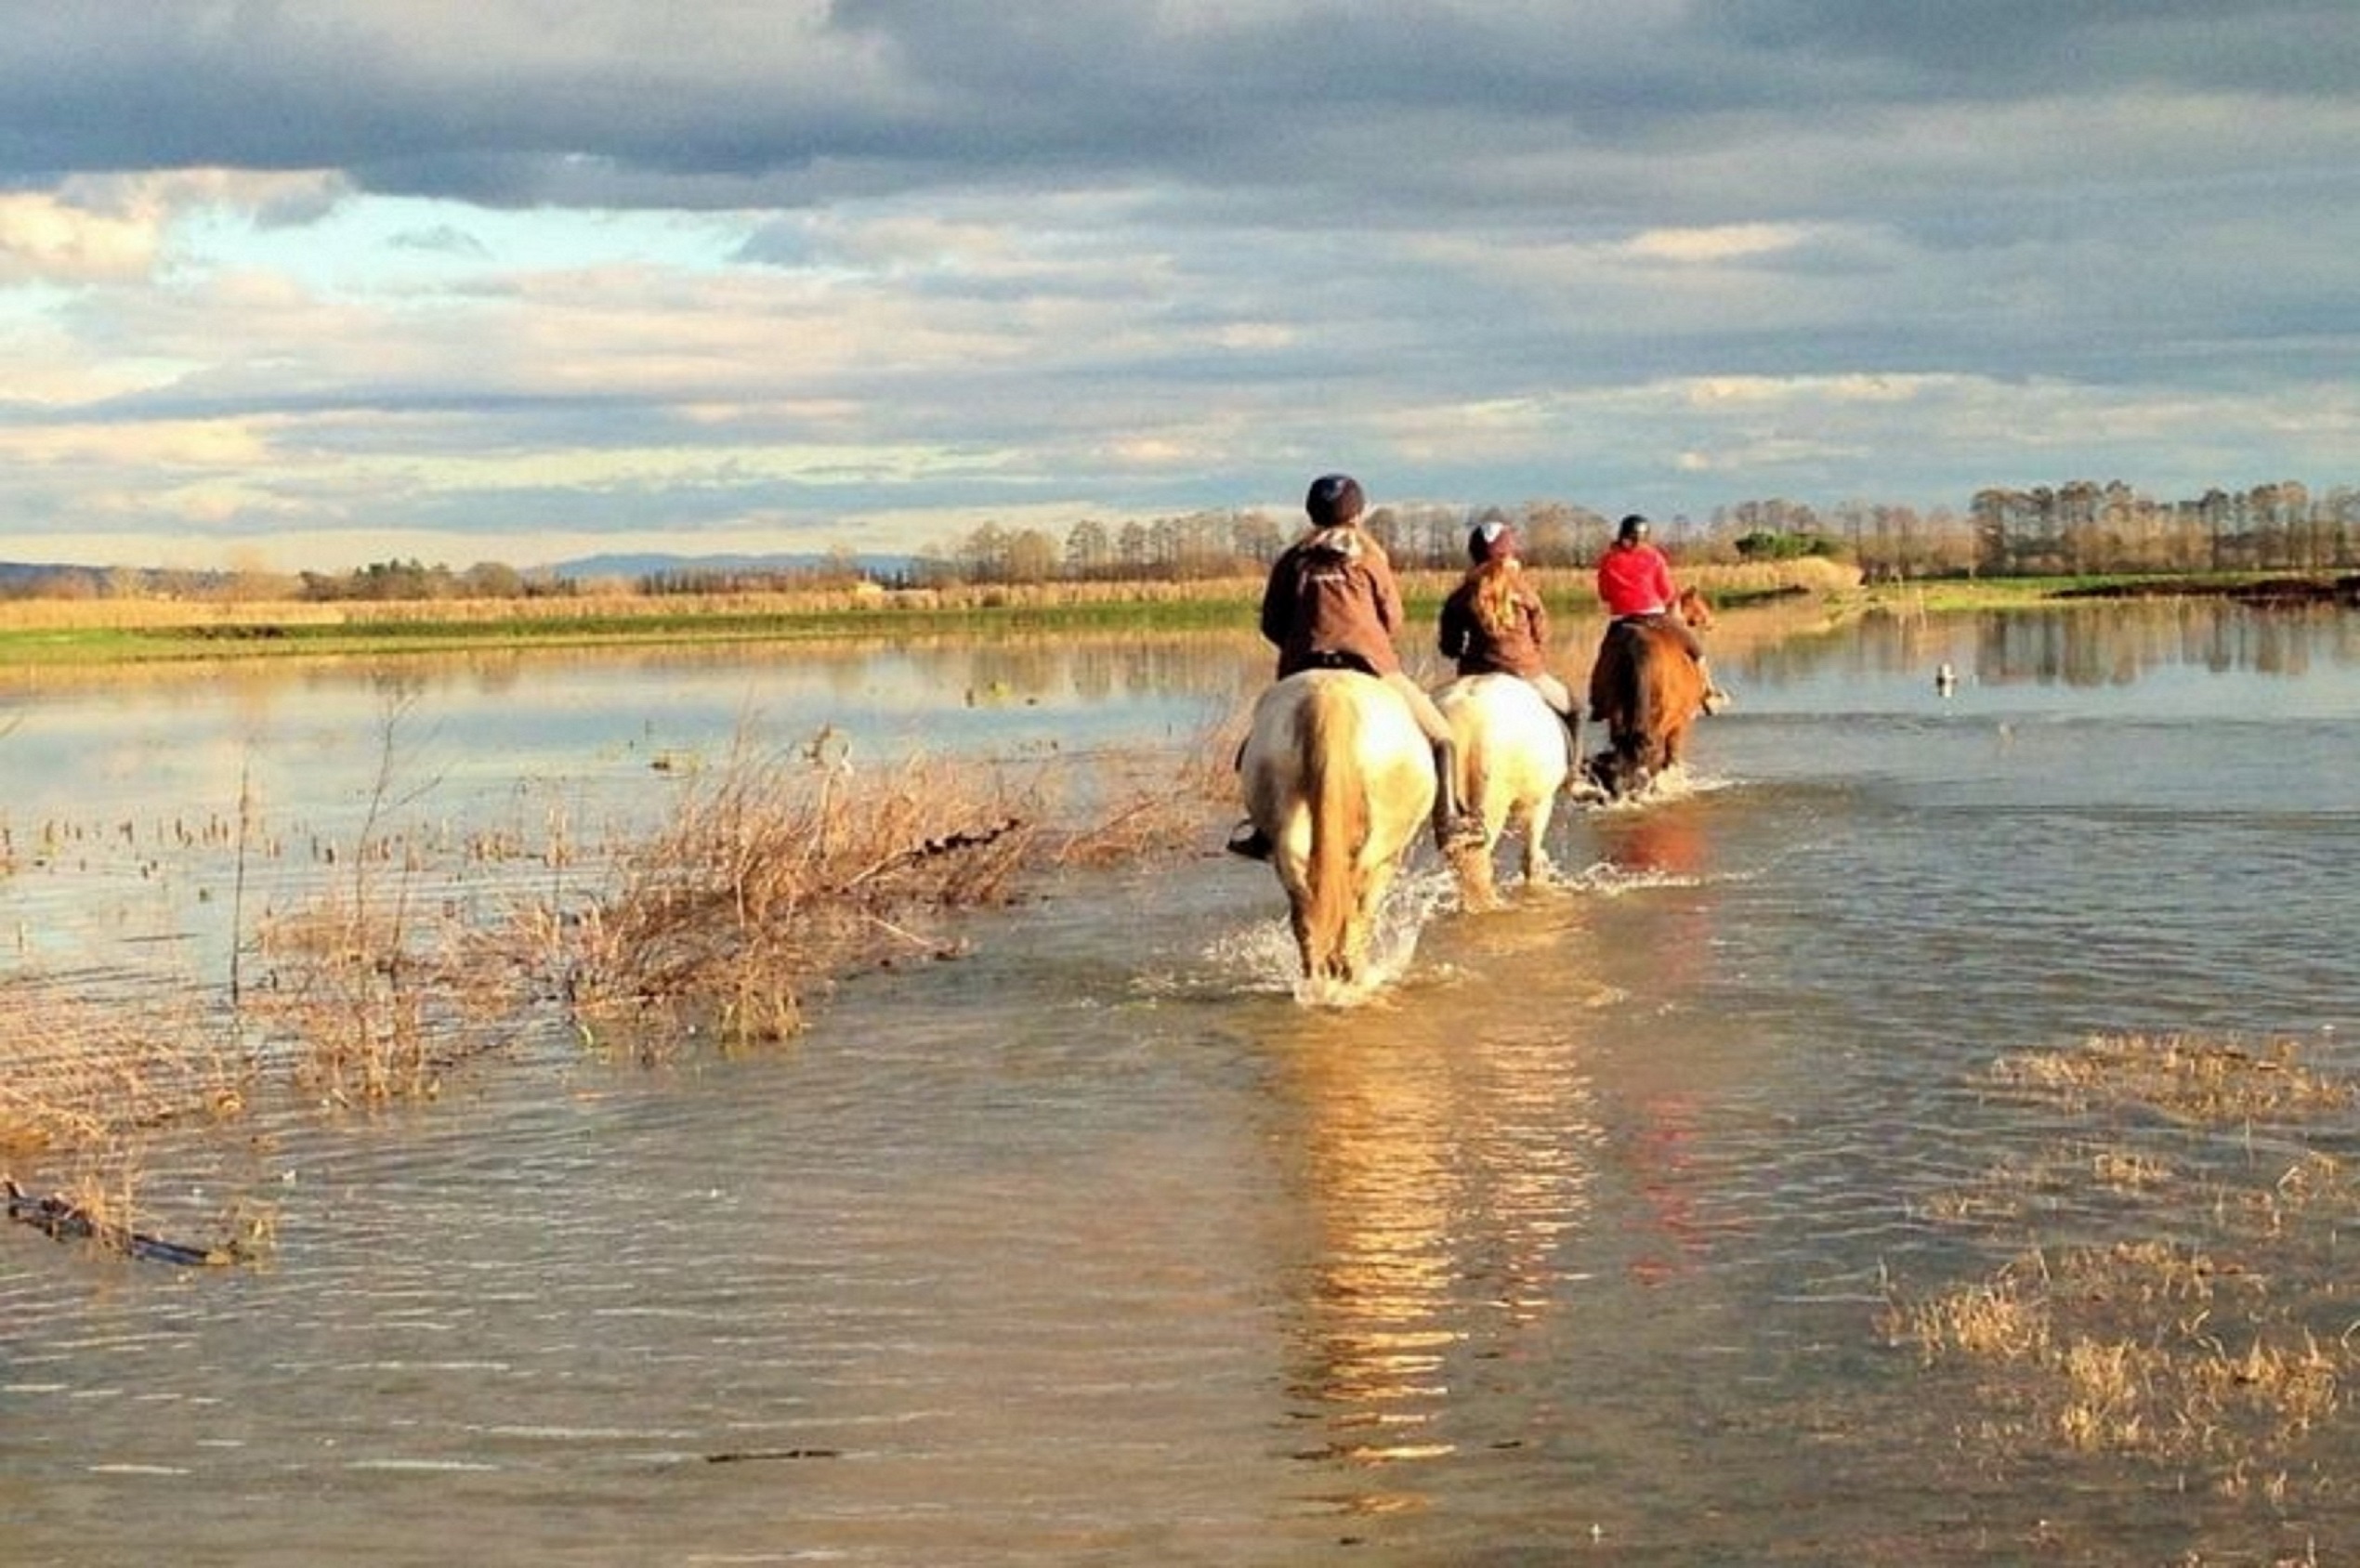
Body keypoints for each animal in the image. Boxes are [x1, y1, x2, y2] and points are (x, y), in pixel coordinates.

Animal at [1236, 664, 1435, 986]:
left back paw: (1317, 973)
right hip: (1378, 846)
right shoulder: (1389, 860)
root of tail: (1331, 695)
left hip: (1288, 834)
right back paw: (1350, 969)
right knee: (1355, 901)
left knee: (1306, 908)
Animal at [1585, 584, 1718, 796]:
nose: (1711, 622)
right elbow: (1671, 759)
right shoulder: (1679, 725)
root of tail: (1637, 643)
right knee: (1656, 756)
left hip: (1618, 716)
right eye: (1700, 602)